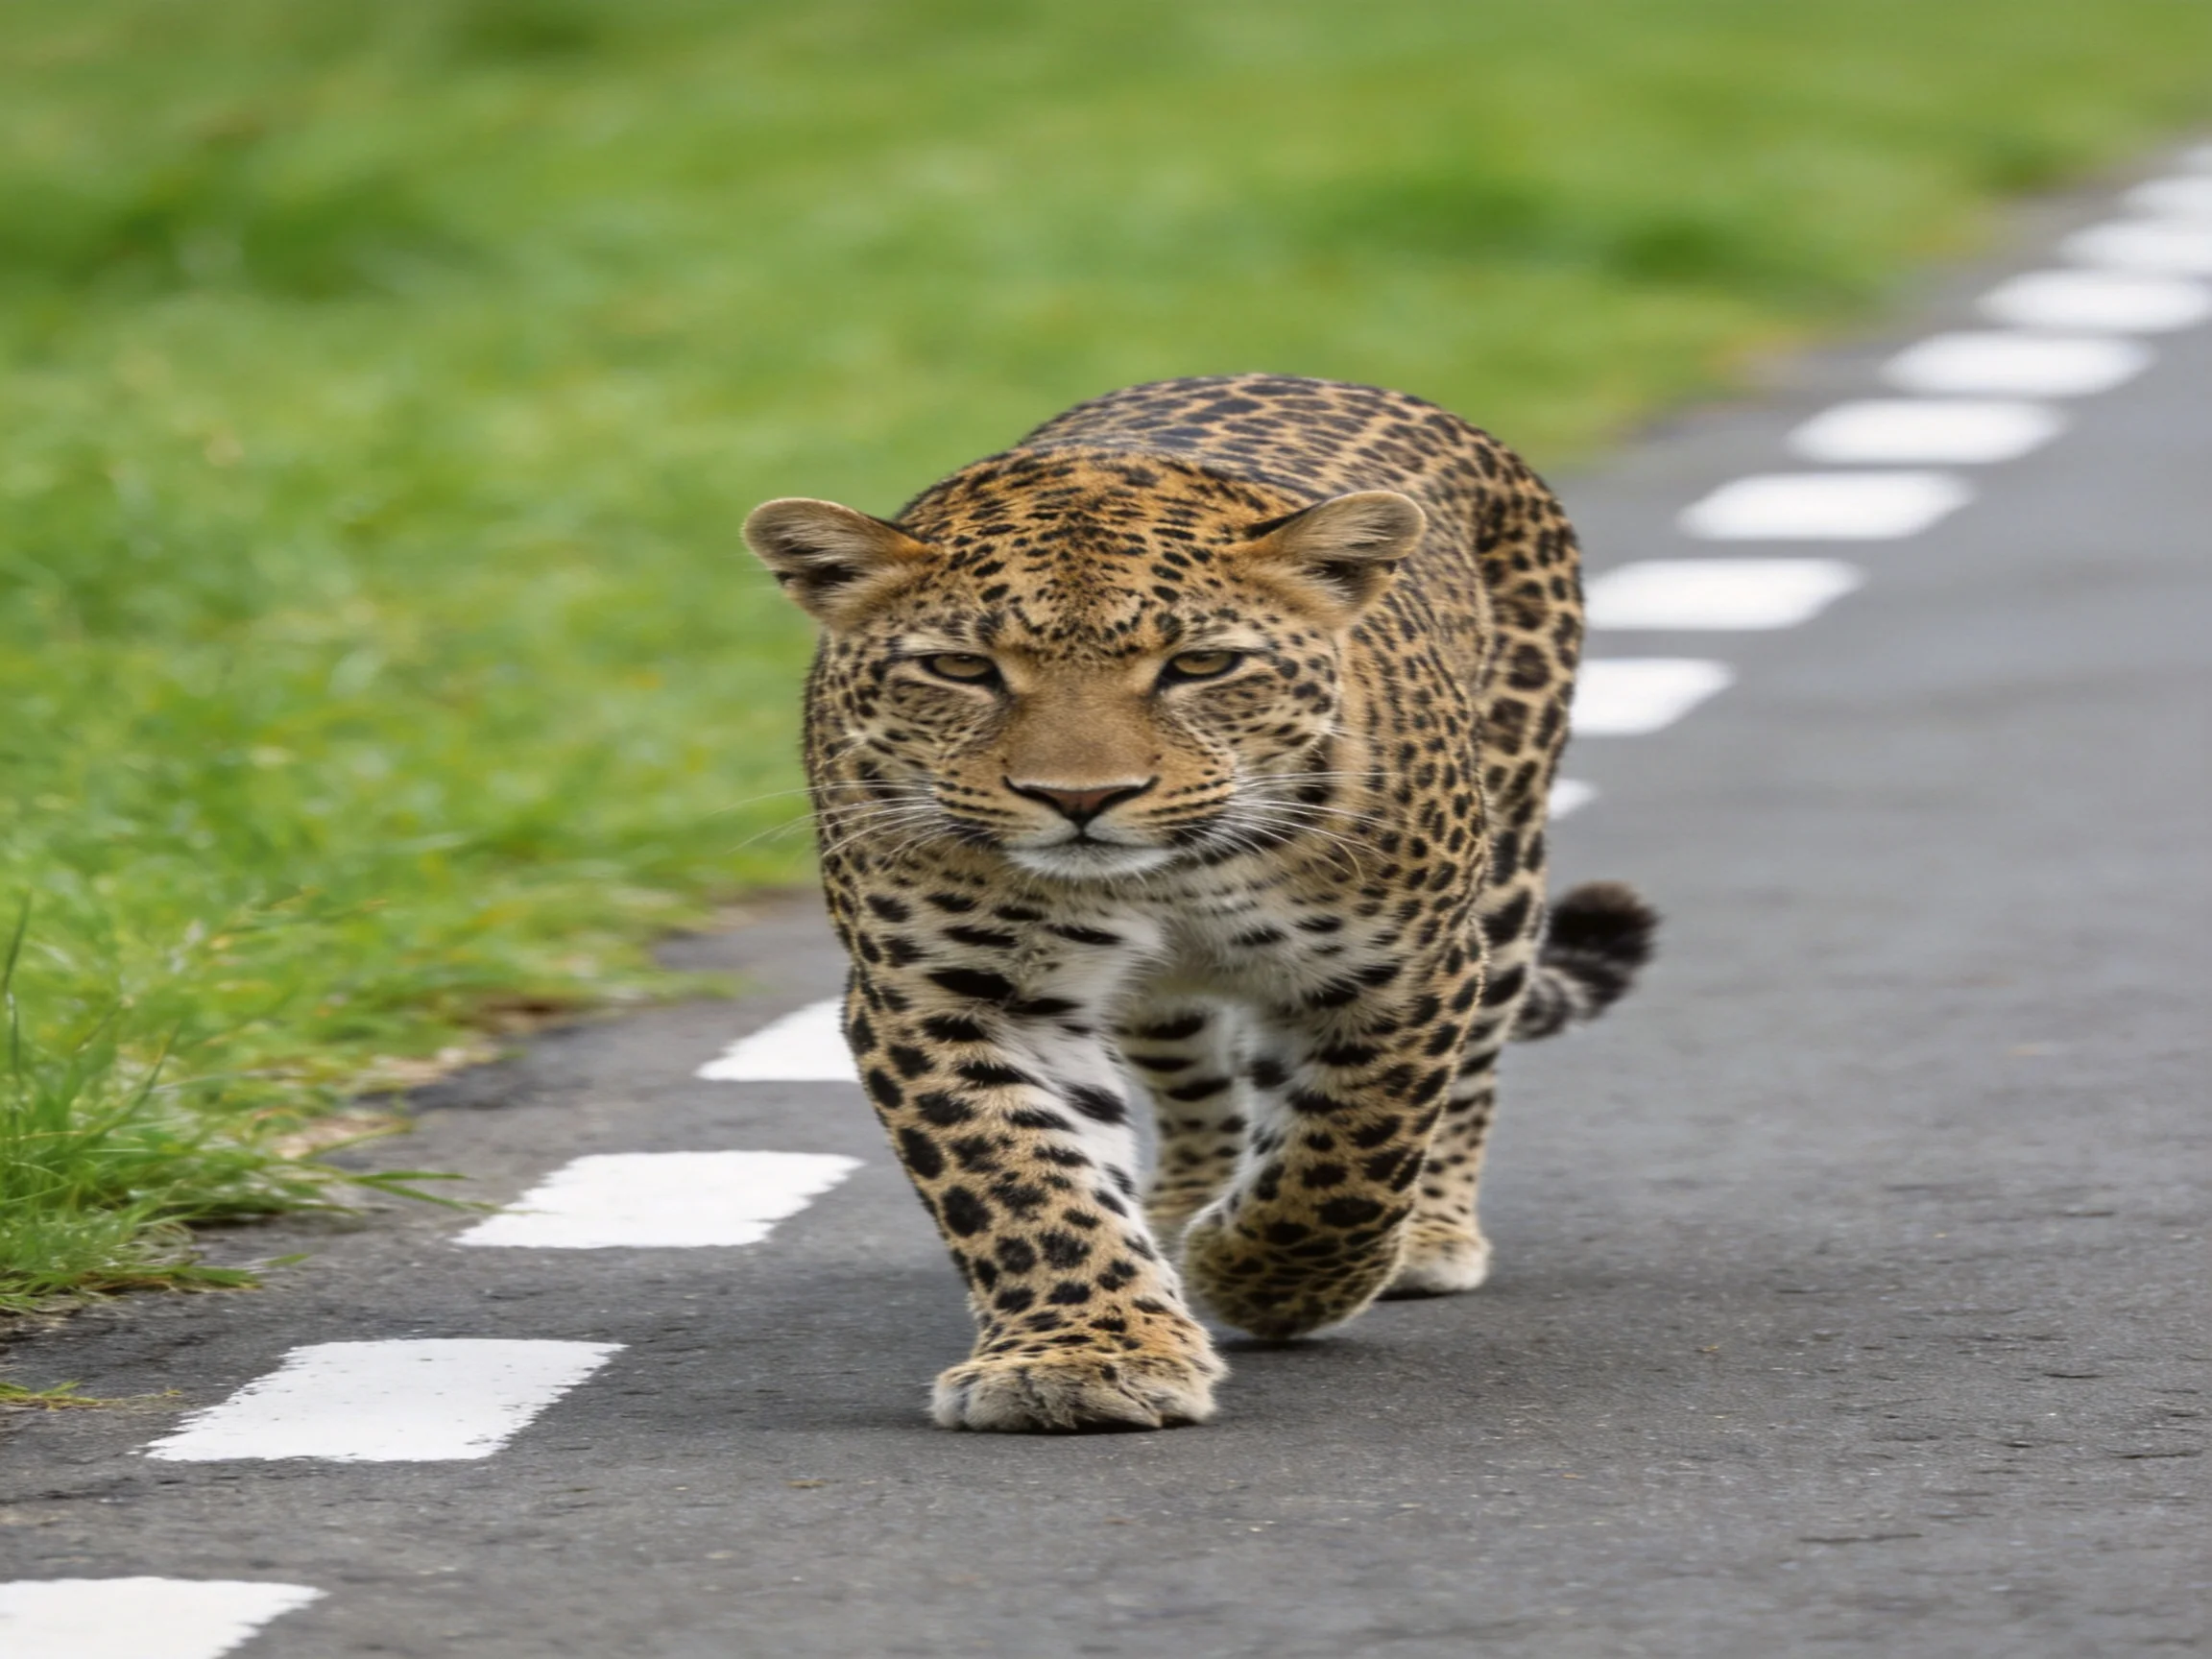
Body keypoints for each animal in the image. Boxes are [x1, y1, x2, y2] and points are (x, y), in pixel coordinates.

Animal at [743, 373, 1655, 1433]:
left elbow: (1350, 1154)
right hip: (1167, 1002)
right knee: (1196, 1085)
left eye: (1201, 666)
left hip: (1505, 880)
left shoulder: (1402, 969)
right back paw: (1182, 1207)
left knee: (1465, 1078)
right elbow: (1018, 1178)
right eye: (963, 668)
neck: (1171, 876)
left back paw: (1423, 1235)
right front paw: (1085, 1356)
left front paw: (1267, 1281)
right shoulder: (948, 991)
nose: (1081, 798)